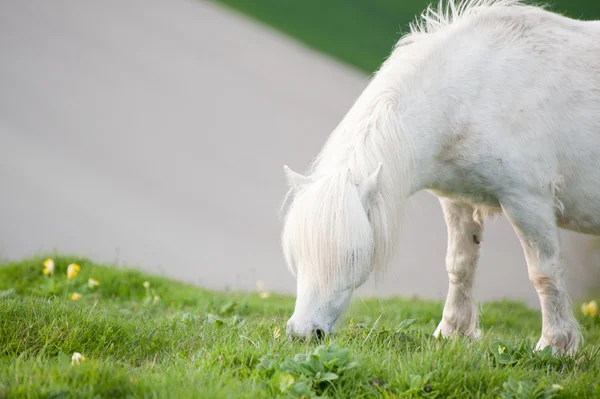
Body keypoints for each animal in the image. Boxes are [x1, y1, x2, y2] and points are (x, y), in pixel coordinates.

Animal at [280, 0, 600, 354]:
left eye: (352, 255)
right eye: (296, 252)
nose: (303, 333)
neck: (474, 93)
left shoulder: (528, 202)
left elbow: (544, 272)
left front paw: (556, 346)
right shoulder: (458, 201)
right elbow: (459, 265)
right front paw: (452, 331)